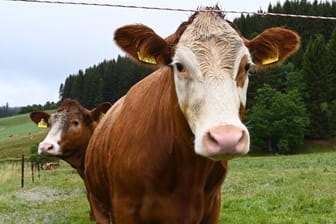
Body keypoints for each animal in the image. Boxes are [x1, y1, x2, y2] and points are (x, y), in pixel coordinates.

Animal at [84, 6, 300, 223]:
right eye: (179, 66)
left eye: (246, 66)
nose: (226, 138)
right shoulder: (125, 209)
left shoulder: (213, 207)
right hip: (98, 203)